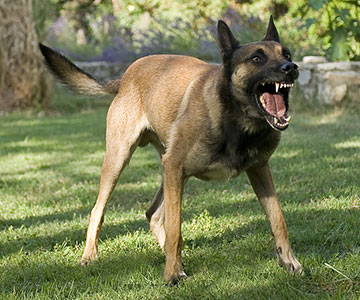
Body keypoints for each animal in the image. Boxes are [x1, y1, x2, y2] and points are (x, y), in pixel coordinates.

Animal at [39, 16, 302, 284]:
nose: (291, 67)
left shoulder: (259, 170)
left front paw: (289, 262)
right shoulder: (176, 167)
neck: (235, 119)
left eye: (287, 54)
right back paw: (91, 255)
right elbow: (175, 227)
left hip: (169, 172)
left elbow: (278, 219)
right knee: (98, 211)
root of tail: (125, 77)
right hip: (120, 160)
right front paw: (173, 273)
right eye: (257, 58)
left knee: (152, 213)